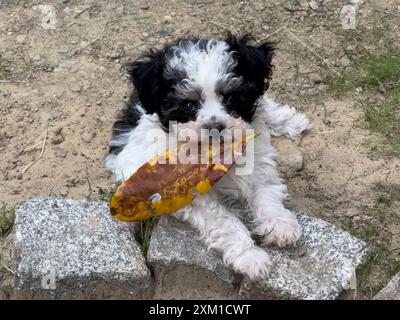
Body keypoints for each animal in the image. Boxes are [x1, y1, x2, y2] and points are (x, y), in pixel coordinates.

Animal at [105, 34, 310, 280]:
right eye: (188, 104)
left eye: (231, 98)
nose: (215, 126)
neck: (217, 153)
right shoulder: (185, 190)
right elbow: (224, 221)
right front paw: (250, 256)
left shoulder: (257, 159)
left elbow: (266, 191)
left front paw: (279, 224)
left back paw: (290, 120)